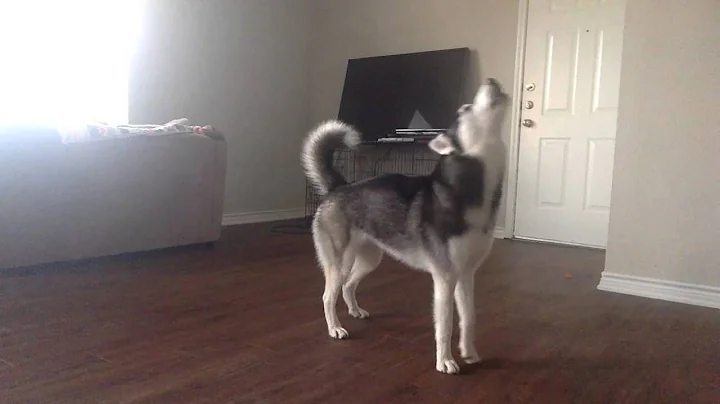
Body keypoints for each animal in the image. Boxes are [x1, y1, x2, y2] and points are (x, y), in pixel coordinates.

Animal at [300, 77, 510, 374]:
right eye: (467, 109)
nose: (491, 80)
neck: (468, 190)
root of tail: (338, 188)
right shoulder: (445, 277)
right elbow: (445, 325)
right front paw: (445, 361)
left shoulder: (466, 274)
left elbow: (469, 318)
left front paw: (469, 352)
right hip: (339, 261)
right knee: (328, 296)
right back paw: (335, 328)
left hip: (370, 259)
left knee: (348, 285)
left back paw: (355, 311)